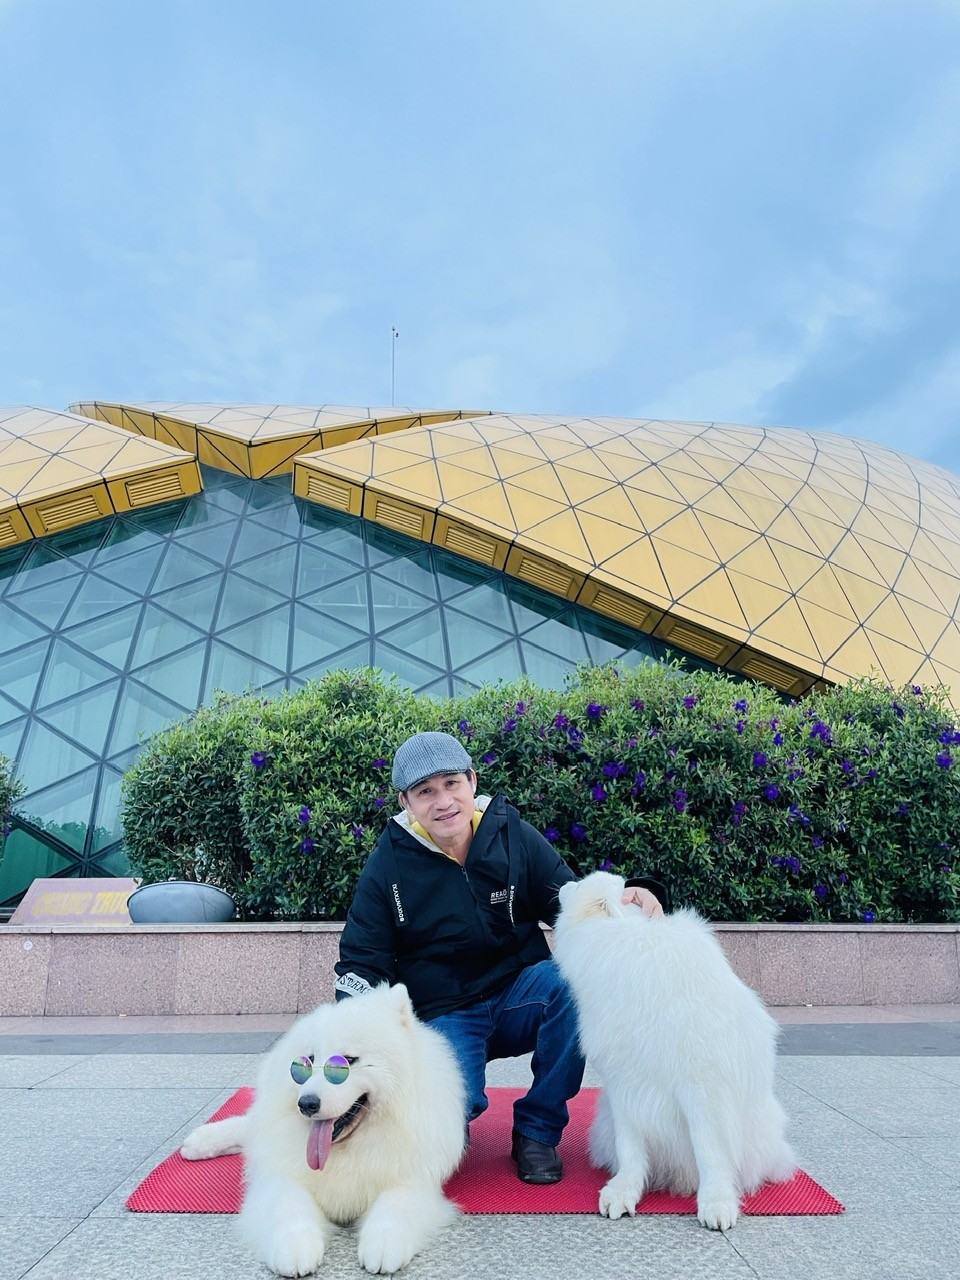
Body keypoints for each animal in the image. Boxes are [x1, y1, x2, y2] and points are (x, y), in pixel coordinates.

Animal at [181, 983, 465, 1276]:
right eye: (306, 1062)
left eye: (348, 1060)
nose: (306, 1104)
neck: (345, 1150)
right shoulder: (283, 1174)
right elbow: (289, 1207)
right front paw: (294, 1249)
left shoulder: (411, 1178)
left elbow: (394, 1207)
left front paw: (384, 1244)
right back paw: (198, 1141)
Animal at [553, 871, 796, 1230]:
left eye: (582, 884)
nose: (563, 885)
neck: (627, 946)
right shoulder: (624, 1083)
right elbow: (629, 1147)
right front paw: (623, 1191)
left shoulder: (703, 1088)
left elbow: (709, 1150)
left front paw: (716, 1203)